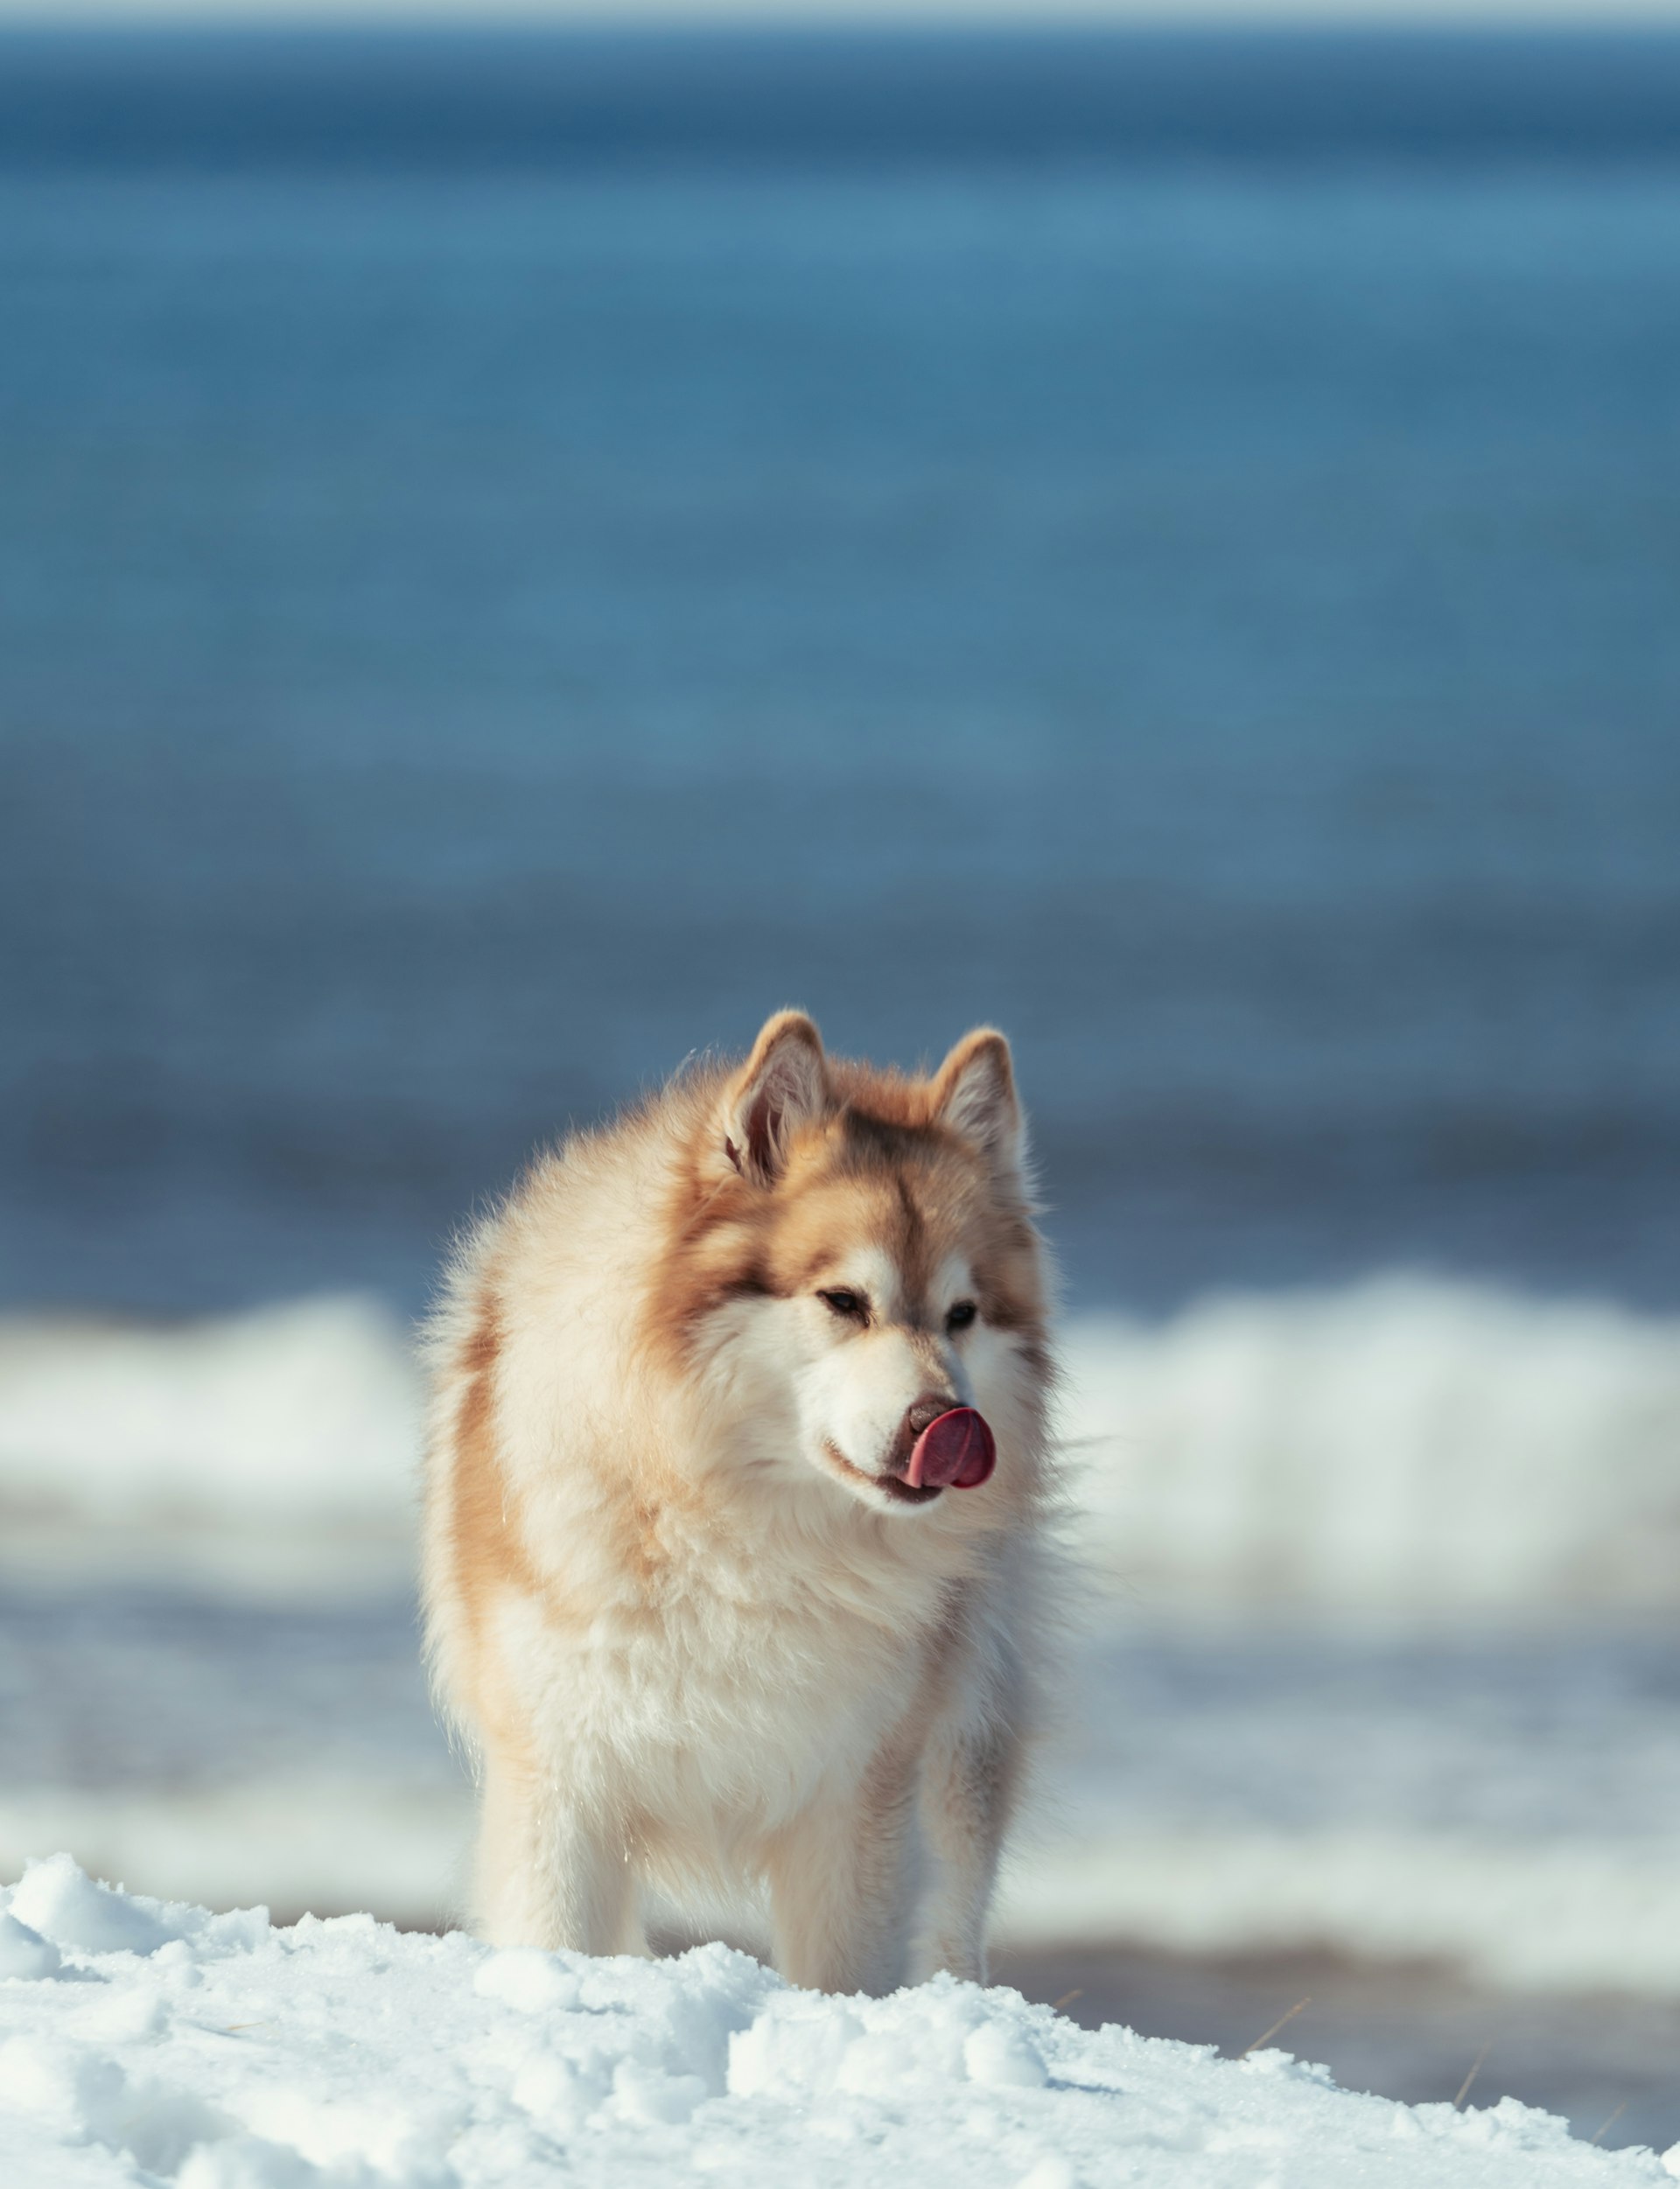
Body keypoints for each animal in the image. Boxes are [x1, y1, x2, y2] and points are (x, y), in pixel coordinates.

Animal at [424, 1011, 1051, 2004]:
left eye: (963, 1314)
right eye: (843, 1301)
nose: (947, 1424)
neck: (738, 1528)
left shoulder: (857, 1803)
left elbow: (843, 1973)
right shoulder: (562, 1787)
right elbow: (558, 1935)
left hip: (963, 1756)